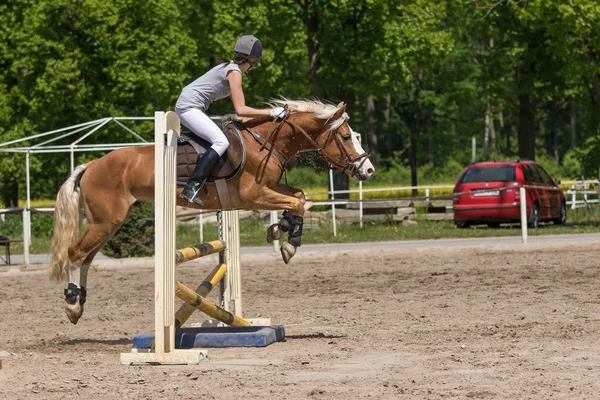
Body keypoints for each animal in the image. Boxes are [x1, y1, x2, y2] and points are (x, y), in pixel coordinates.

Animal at [48, 98, 376, 324]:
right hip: (106, 221)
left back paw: (79, 304)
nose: (369, 169)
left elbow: (299, 197)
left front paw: (279, 230)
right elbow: (296, 202)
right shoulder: (253, 196)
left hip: (108, 223)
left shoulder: (267, 190)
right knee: (76, 253)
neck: (263, 143)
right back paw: (72, 303)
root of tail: (91, 164)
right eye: (346, 137)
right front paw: (289, 244)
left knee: (86, 258)